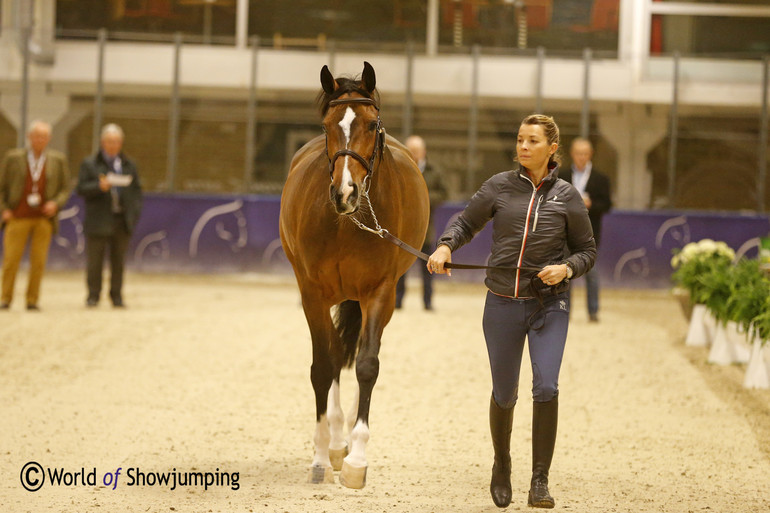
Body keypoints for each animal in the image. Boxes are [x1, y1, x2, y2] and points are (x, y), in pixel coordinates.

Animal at [280, 62, 428, 486]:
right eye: (327, 124)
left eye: (372, 123)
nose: (344, 192)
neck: (346, 224)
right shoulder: (312, 293)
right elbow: (322, 367)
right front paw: (320, 456)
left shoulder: (379, 293)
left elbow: (366, 365)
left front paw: (357, 459)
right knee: (331, 355)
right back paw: (333, 442)